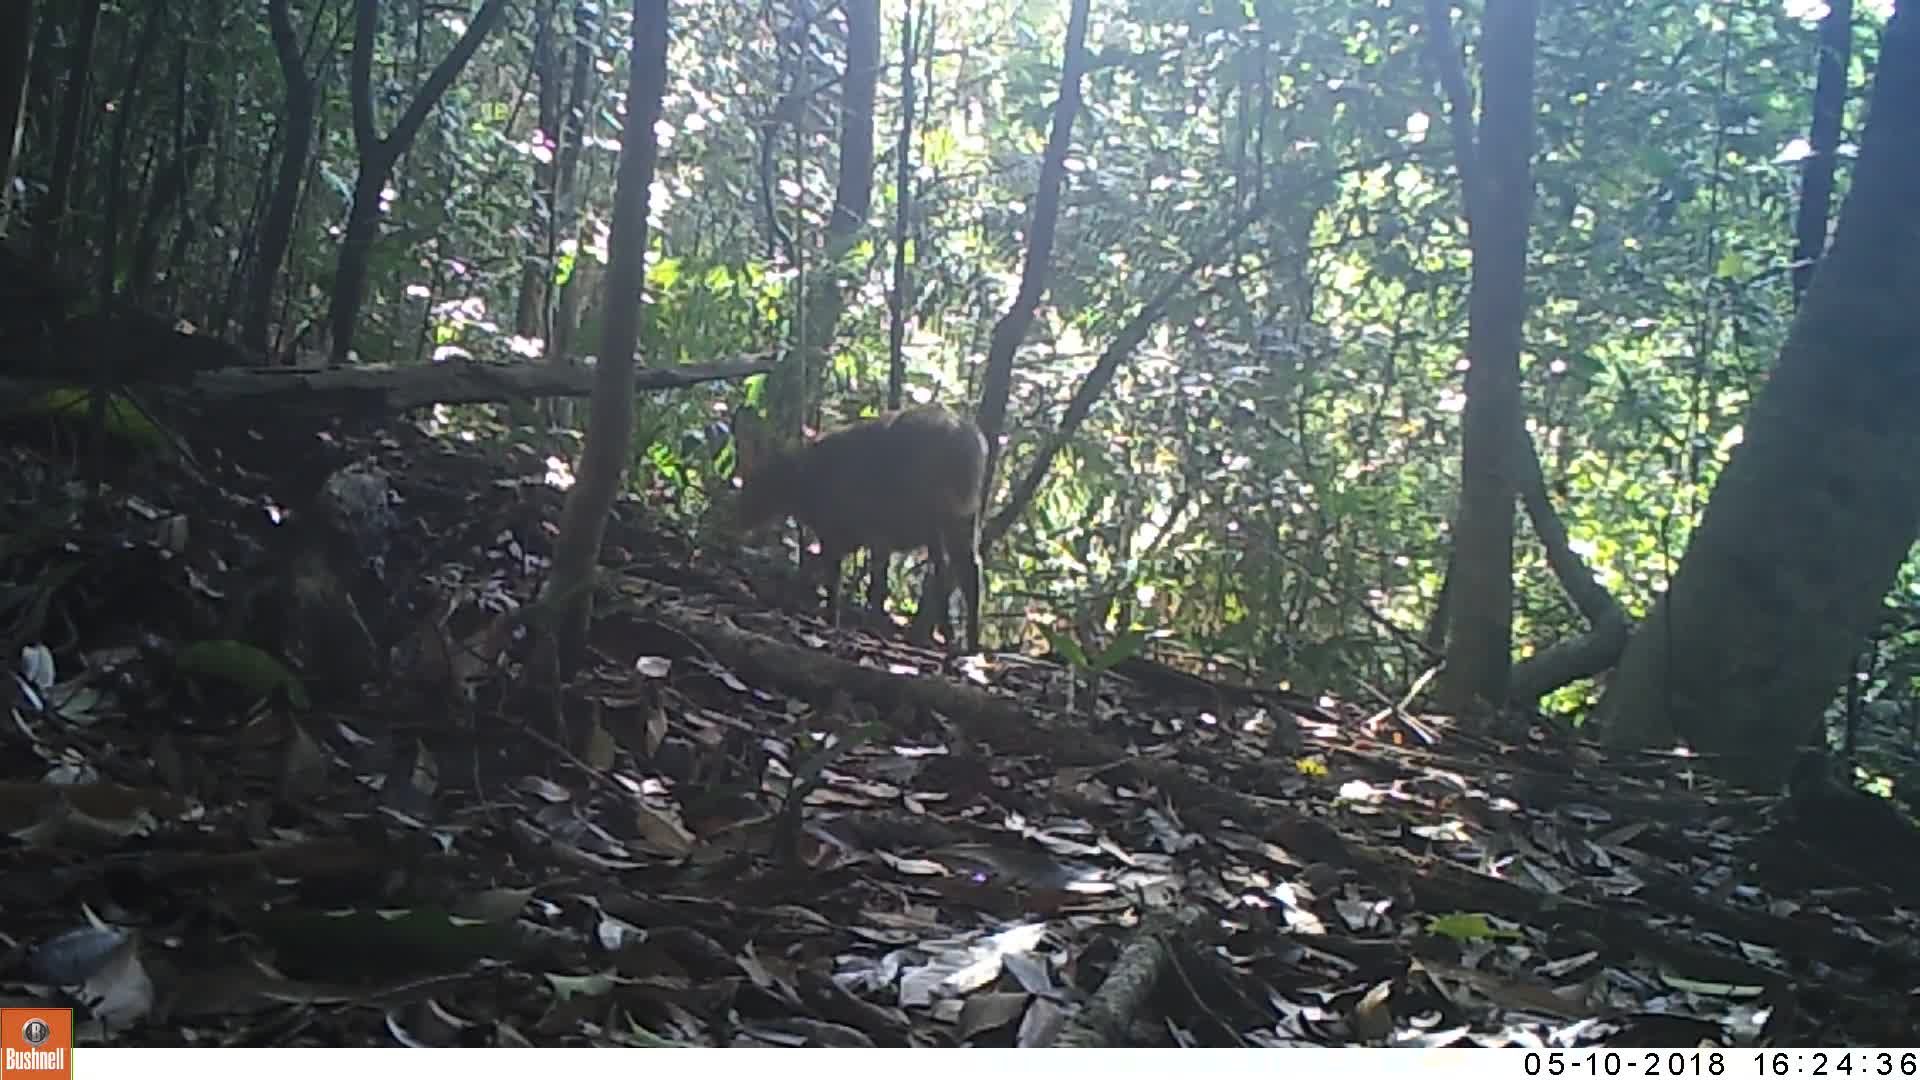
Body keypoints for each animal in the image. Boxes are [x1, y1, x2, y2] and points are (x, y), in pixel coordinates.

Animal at [725, 401, 983, 645]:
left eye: (753, 484)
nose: (736, 519)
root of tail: (964, 437)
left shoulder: (838, 530)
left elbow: (833, 580)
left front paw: (831, 622)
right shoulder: (863, 537)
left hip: (932, 509)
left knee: (944, 570)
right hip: (962, 516)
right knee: (969, 570)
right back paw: (968, 646)